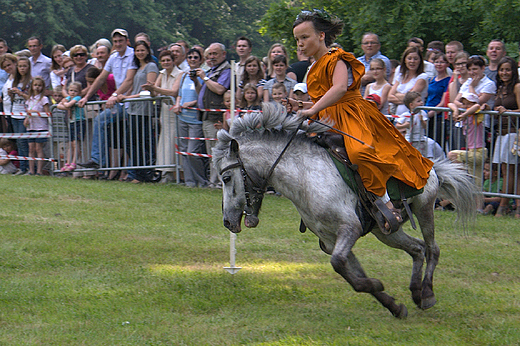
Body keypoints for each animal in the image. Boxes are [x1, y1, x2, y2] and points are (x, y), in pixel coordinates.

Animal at [212, 102, 480, 318]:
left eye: (226, 177)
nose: (227, 222)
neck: (305, 175)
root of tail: (431, 165)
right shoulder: (333, 239)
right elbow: (351, 272)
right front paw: (392, 304)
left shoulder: (349, 228)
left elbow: (339, 264)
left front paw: (378, 287)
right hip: (386, 231)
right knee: (417, 249)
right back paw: (415, 292)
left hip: (424, 209)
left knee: (432, 249)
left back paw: (427, 293)